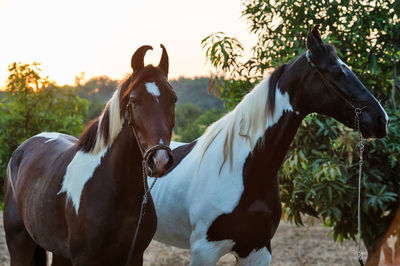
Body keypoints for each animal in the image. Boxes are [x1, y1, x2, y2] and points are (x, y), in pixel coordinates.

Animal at [3, 44, 177, 264]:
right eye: (134, 100)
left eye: (173, 100)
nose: (160, 160)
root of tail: (22, 149)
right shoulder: (85, 258)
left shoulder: (135, 257)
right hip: (19, 244)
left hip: (60, 253)